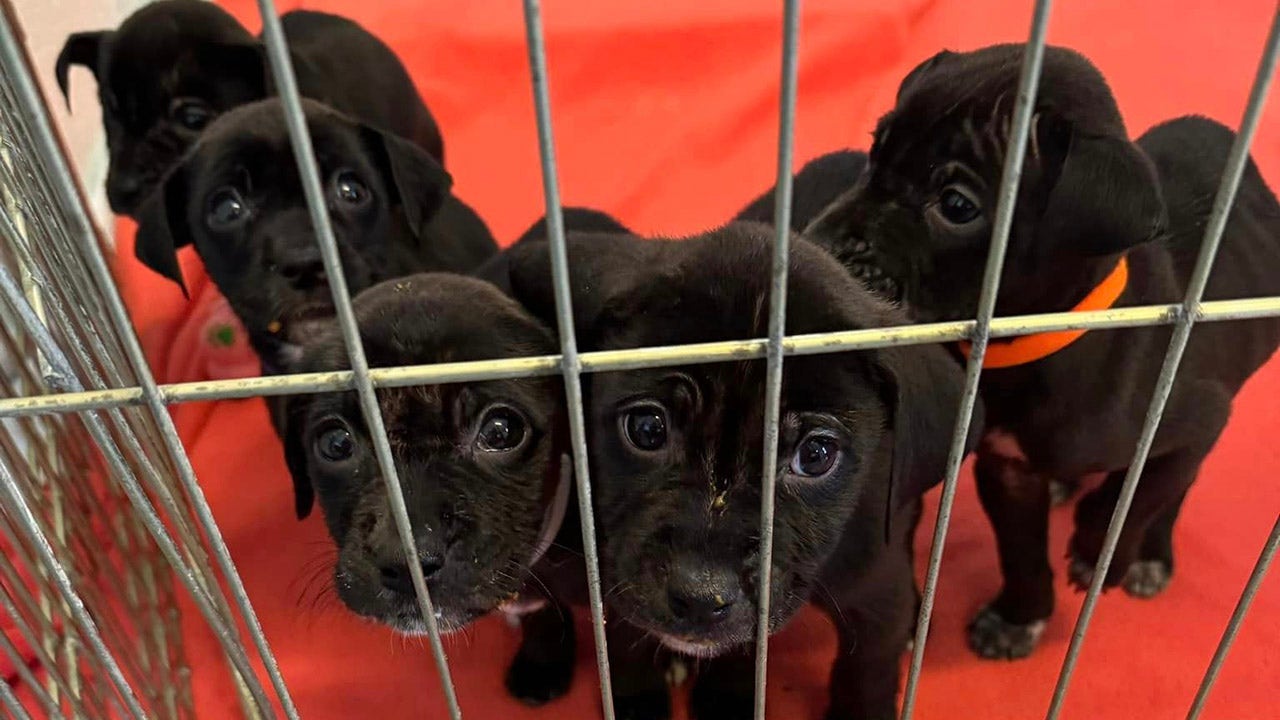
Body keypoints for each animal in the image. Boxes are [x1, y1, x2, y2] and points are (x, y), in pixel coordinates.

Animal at [488, 221, 977, 712]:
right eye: (647, 429)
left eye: (815, 455)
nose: (701, 598)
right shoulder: (613, 576)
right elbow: (626, 647)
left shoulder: (876, 589)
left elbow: (866, 672)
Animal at [803, 44, 1280, 661]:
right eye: (874, 152)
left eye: (956, 205)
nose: (815, 250)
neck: (1034, 343)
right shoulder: (1007, 469)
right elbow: (1022, 551)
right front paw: (1019, 616)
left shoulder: (1197, 417)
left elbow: (1143, 492)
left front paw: (1103, 551)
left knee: (1177, 484)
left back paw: (1149, 555)